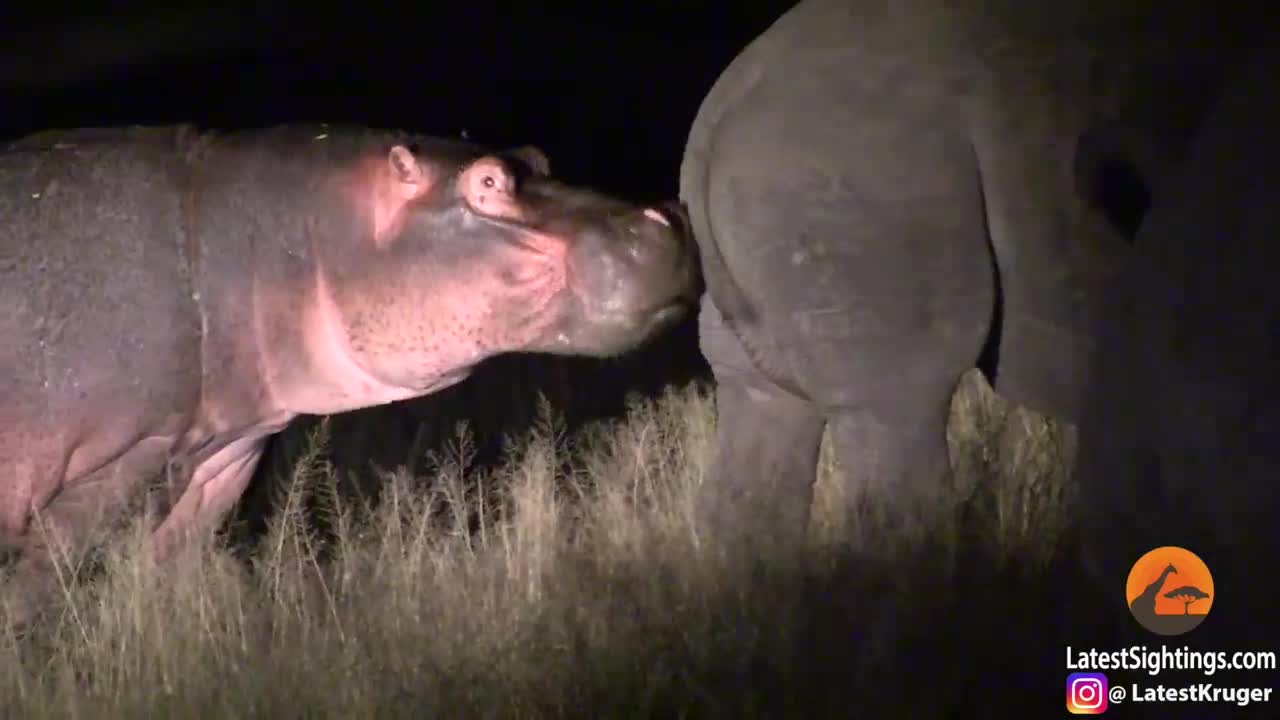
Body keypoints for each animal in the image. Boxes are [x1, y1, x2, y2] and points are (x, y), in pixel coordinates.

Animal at [0, 120, 701, 620]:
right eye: (488, 182)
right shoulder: (120, 460)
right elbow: (41, 586)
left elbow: (167, 570)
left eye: (536, 155)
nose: (664, 214)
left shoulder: (218, 458)